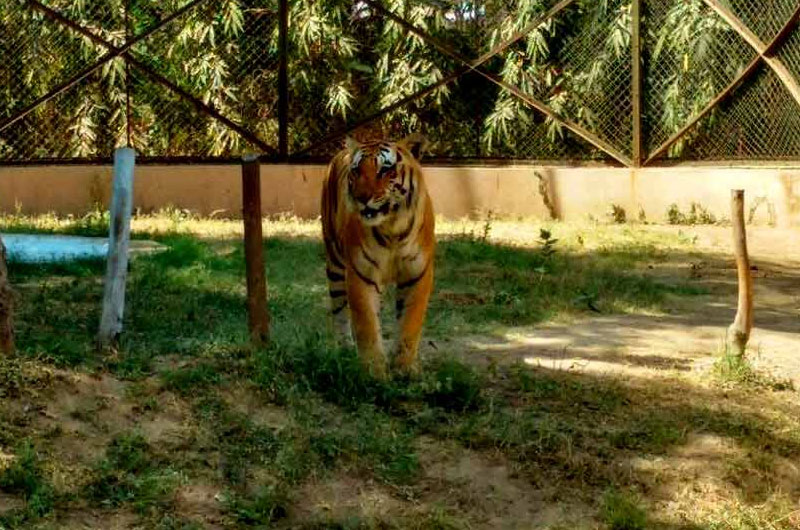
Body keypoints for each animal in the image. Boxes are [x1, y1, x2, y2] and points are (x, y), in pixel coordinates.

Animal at [320, 134, 438, 378]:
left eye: (385, 169)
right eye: (356, 170)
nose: (362, 197)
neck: (392, 228)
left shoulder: (417, 275)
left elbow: (409, 324)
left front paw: (404, 369)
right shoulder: (361, 274)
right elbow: (366, 324)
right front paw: (374, 372)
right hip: (334, 263)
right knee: (339, 310)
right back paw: (344, 349)